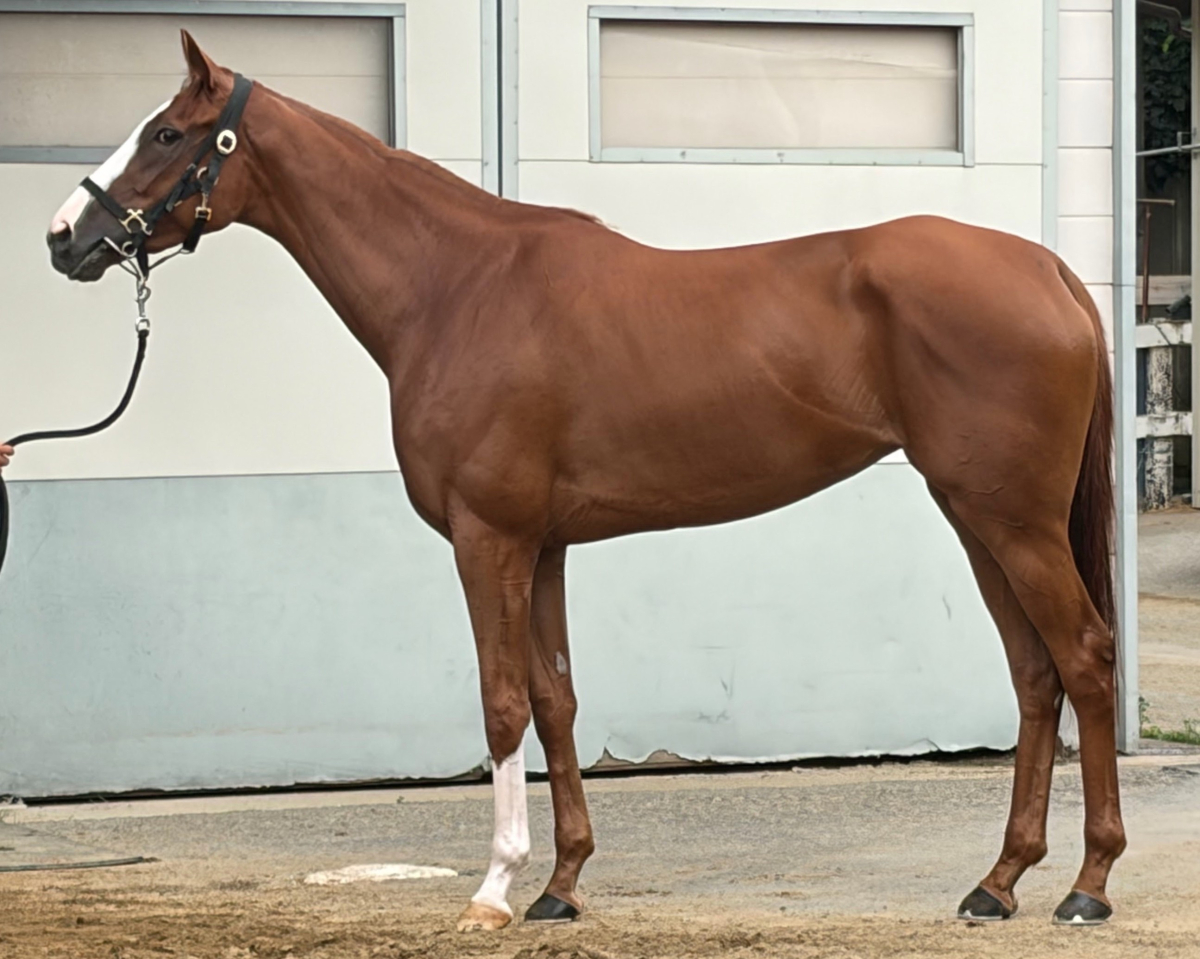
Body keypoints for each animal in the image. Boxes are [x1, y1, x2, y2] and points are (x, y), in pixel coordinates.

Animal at [45, 32, 1123, 931]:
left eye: (168, 132)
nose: (63, 237)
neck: (456, 288)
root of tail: (1052, 270)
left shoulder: (488, 537)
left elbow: (501, 703)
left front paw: (493, 890)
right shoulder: (546, 543)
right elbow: (556, 697)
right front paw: (560, 885)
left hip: (1014, 521)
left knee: (1082, 655)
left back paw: (1086, 884)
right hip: (977, 517)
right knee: (1034, 674)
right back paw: (998, 882)